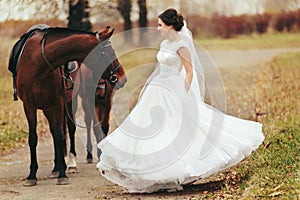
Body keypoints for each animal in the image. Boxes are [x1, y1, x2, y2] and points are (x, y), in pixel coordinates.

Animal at [9, 26, 126, 186]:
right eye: (110, 53)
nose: (123, 78)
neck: (38, 62)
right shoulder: (29, 105)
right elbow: (34, 138)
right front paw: (32, 175)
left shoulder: (58, 103)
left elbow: (61, 135)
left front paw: (63, 174)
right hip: (48, 108)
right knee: (55, 131)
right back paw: (56, 167)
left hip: (70, 102)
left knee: (69, 129)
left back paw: (69, 164)